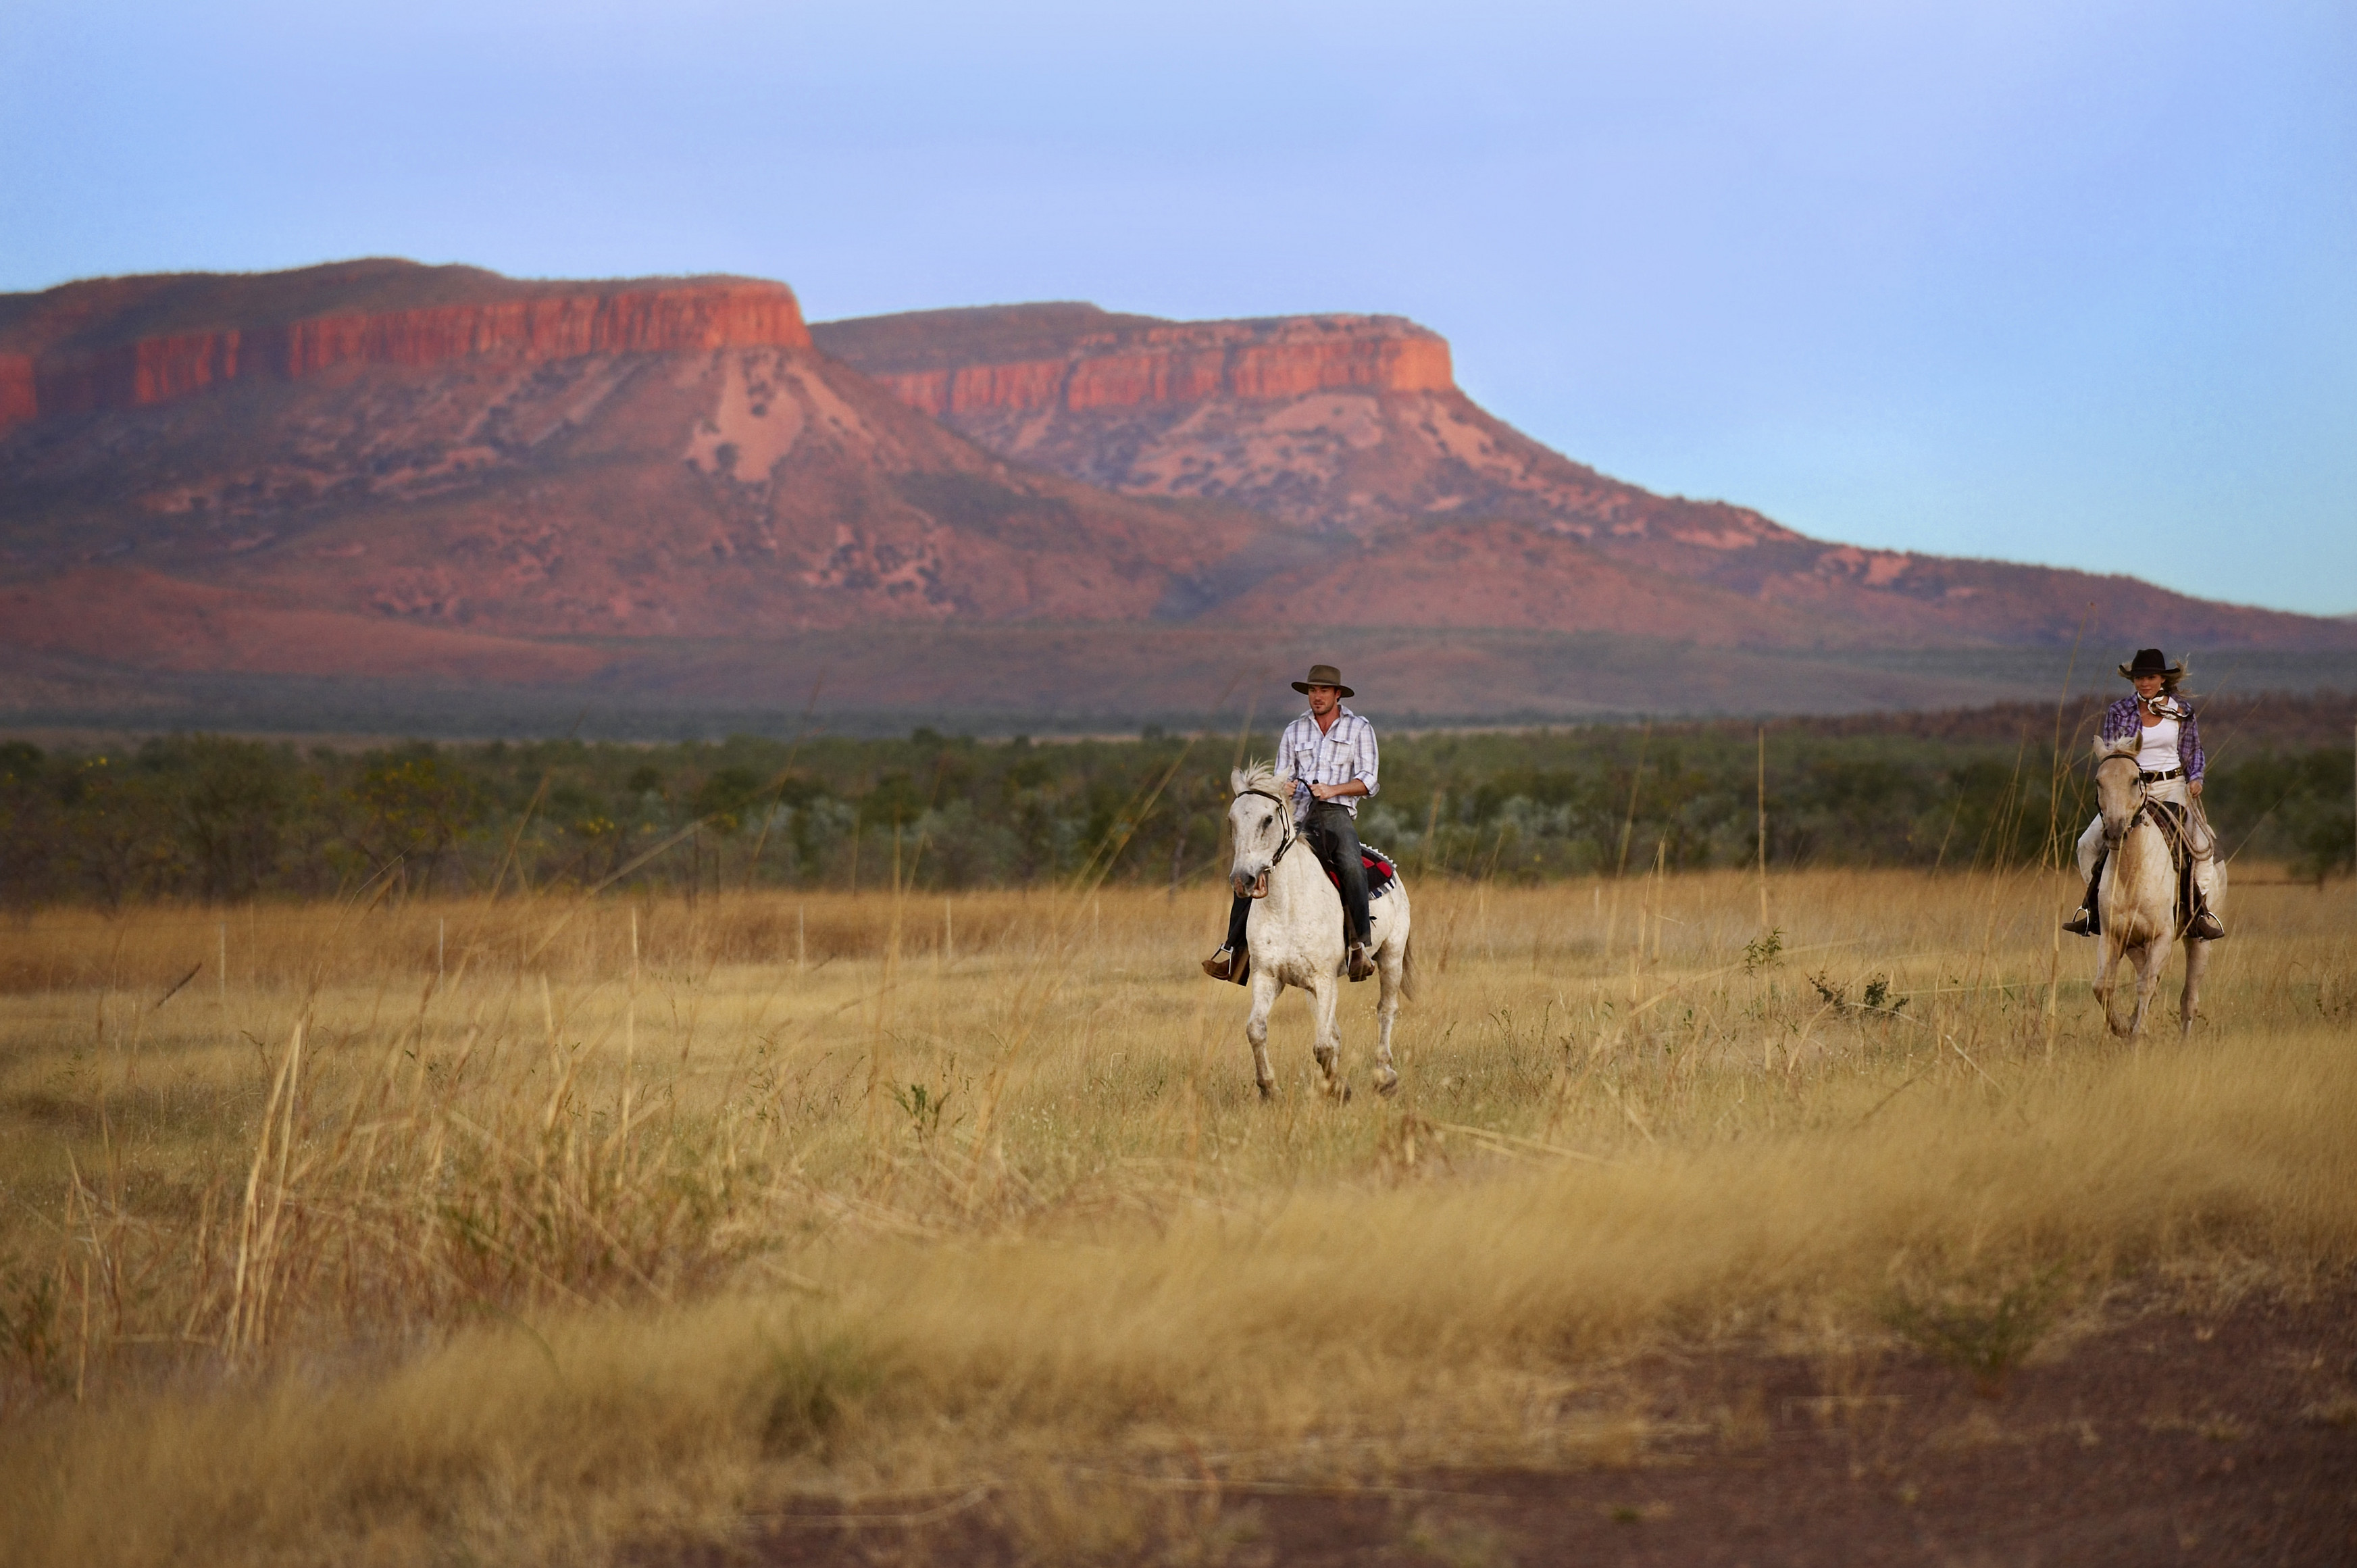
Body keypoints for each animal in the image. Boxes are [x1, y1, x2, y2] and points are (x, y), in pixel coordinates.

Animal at [1225, 763, 1404, 1094]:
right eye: (1232, 820)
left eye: (1268, 819)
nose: (1242, 880)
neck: (1287, 907)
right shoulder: (1268, 976)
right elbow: (1256, 1030)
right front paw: (1269, 1088)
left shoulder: (1324, 979)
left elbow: (1322, 1046)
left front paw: (1338, 1089)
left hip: (1392, 956)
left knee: (1386, 1010)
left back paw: (1385, 1077)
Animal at [2093, 744, 2215, 1037]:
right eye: (2099, 782)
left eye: (2134, 780)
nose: (2115, 831)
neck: (2132, 874)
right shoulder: (2113, 936)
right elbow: (2103, 986)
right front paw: (2122, 1027)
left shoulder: (2161, 937)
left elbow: (2147, 984)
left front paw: (2136, 1034)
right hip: (2136, 945)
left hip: (2199, 941)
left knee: (2188, 999)